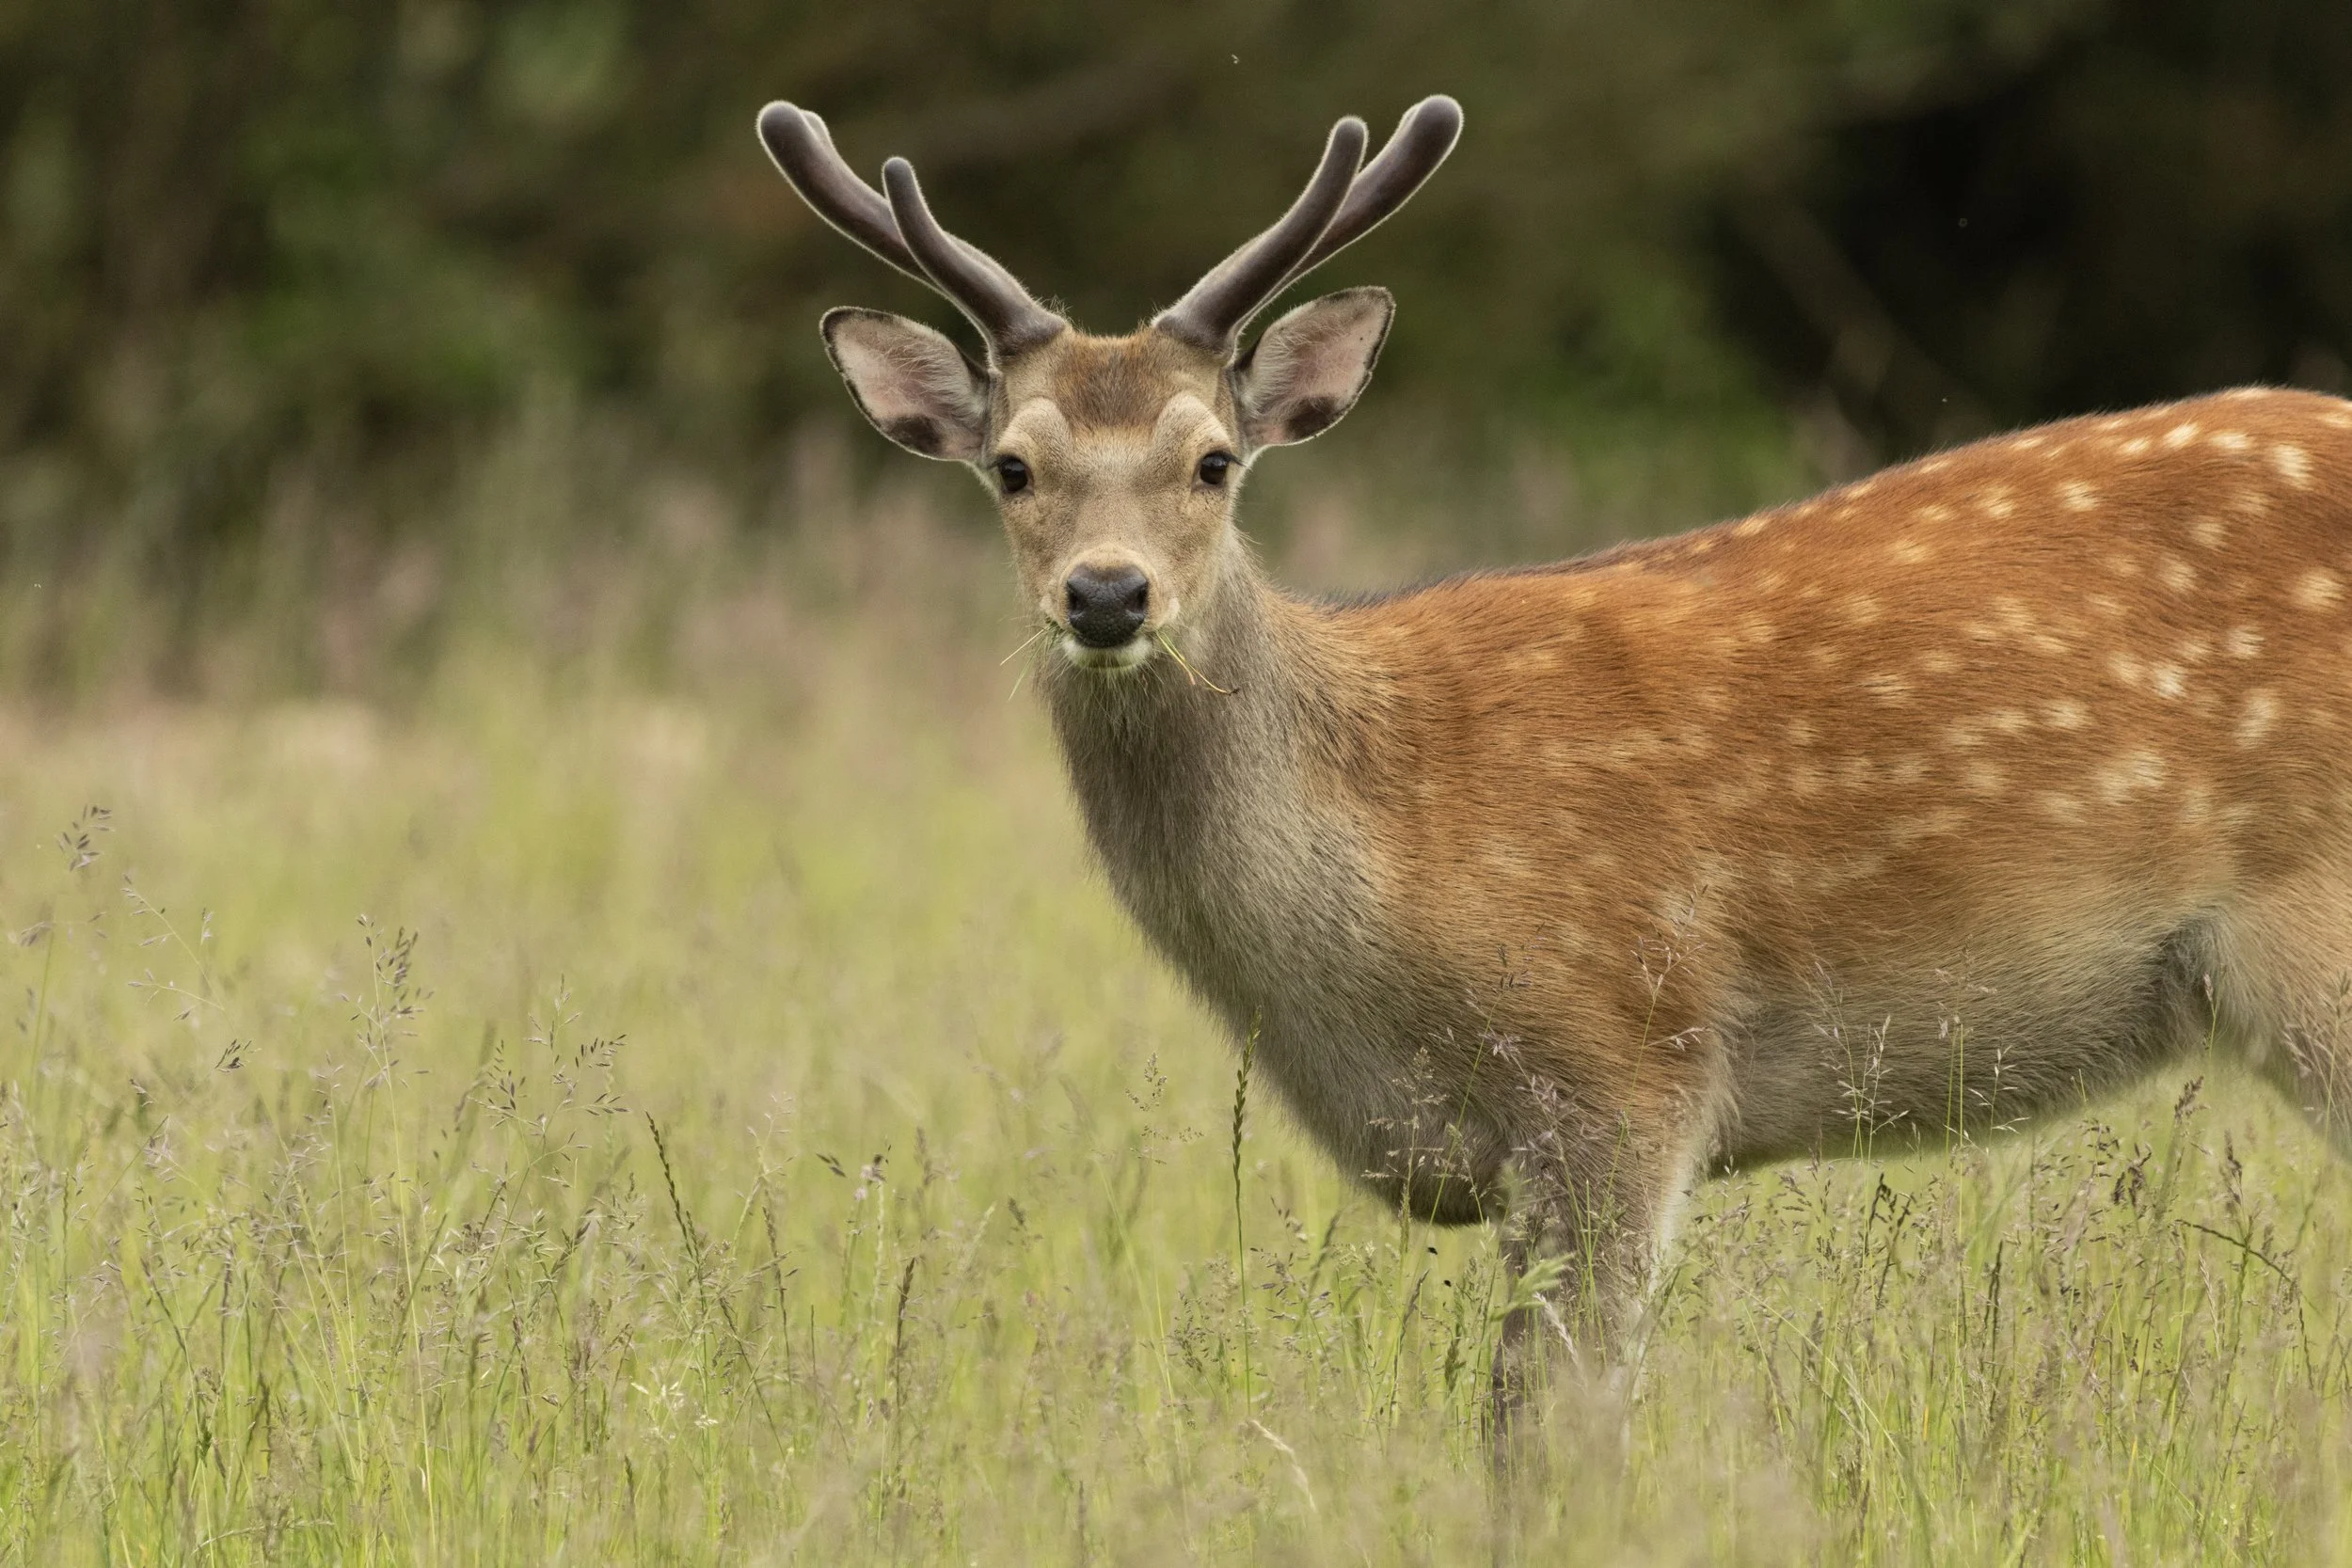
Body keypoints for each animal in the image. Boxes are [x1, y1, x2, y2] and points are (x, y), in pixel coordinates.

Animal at [756, 94, 2352, 1421]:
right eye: (1011, 467)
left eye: (1213, 460)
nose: (1105, 594)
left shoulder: (1623, 1061)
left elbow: (1549, 1426)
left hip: (2314, 943)